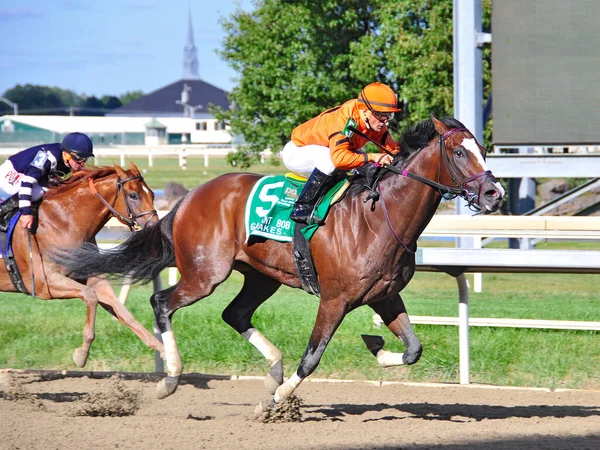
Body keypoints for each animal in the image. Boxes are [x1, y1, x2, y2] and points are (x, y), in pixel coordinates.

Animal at [1, 163, 164, 368]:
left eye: (152, 194)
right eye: (133, 195)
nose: (156, 230)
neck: (63, 222)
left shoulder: (92, 276)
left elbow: (122, 311)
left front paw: (168, 355)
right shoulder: (44, 284)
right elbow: (90, 296)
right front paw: (81, 354)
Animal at [57, 117, 506, 408]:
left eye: (484, 150)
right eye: (459, 152)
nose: (495, 194)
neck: (380, 216)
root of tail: (188, 198)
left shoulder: (384, 295)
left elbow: (414, 349)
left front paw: (376, 346)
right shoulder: (335, 299)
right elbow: (312, 356)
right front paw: (276, 399)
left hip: (261, 275)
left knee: (235, 313)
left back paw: (272, 367)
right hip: (205, 273)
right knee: (162, 302)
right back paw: (170, 377)